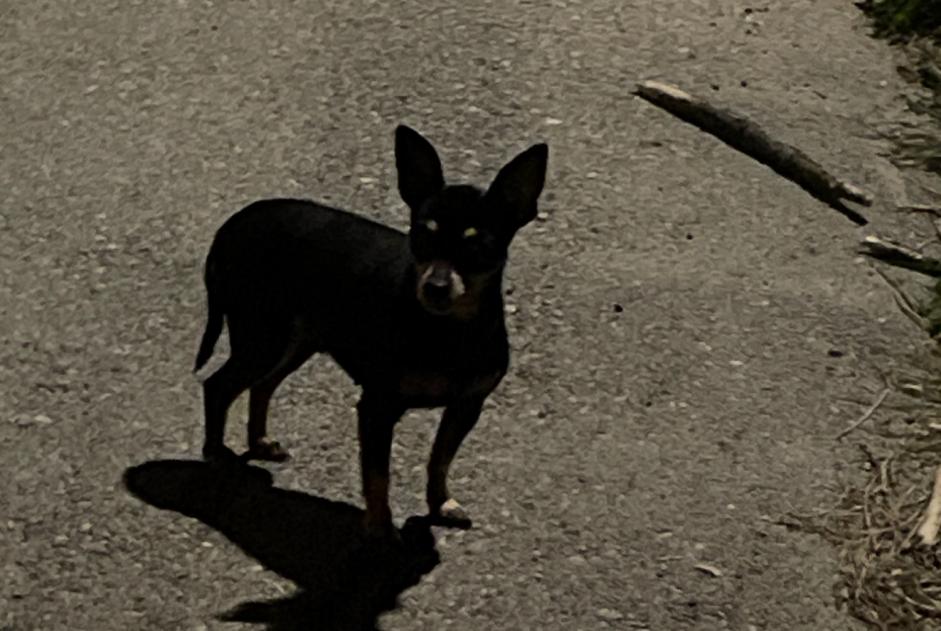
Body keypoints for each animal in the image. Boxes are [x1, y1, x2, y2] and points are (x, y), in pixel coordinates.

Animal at [193, 124, 544, 540]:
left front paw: (440, 503)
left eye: (478, 247)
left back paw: (260, 442)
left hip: (295, 341)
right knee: (219, 386)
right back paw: (216, 453)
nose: (435, 287)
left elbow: (439, 459)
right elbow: (378, 474)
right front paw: (378, 526)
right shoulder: (378, 408)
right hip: (262, 337)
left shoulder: (466, 406)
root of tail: (229, 227)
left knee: (262, 385)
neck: (448, 330)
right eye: (421, 236)